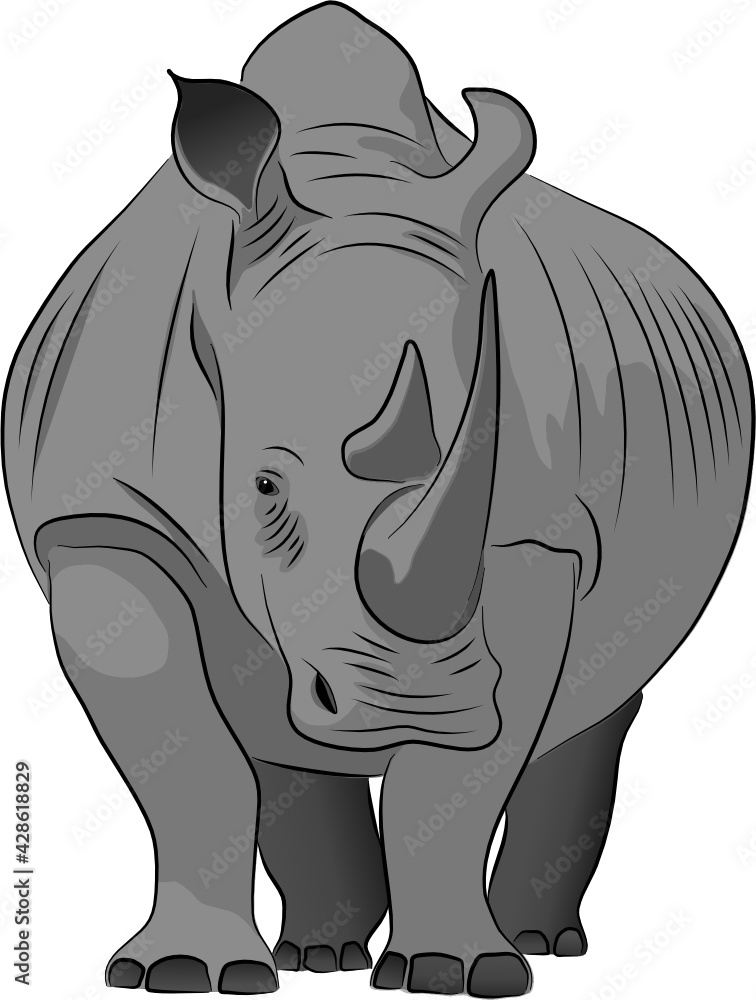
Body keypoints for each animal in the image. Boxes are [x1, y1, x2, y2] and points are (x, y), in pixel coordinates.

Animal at [3, 2, 753, 996]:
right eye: (263, 484)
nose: (413, 708)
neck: (350, 178)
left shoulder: (532, 538)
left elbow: (458, 780)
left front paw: (458, 969)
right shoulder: (101, 520)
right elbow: (190, 760)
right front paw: (184, 972)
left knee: (597, 696)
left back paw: (538, 943)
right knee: (269, 722)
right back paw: (316, 957)